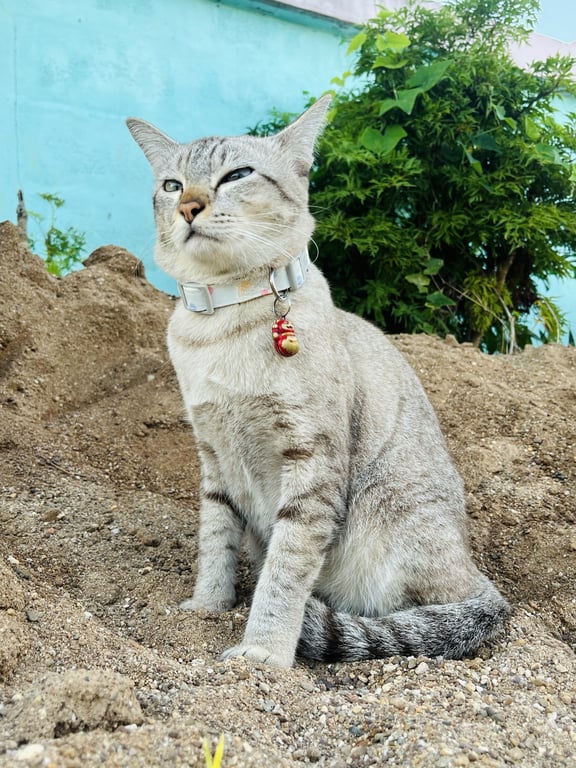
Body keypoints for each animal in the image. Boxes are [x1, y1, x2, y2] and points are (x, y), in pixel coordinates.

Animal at [126, 95, 510, 668]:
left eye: (236, 175)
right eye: (173, 185)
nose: (188, 207)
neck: (220, 323)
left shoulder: (311, 465)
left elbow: (283, 574)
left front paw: (262, 651)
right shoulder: (213, 456)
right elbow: (215, 542)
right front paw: (205, 608)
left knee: (431, 616)